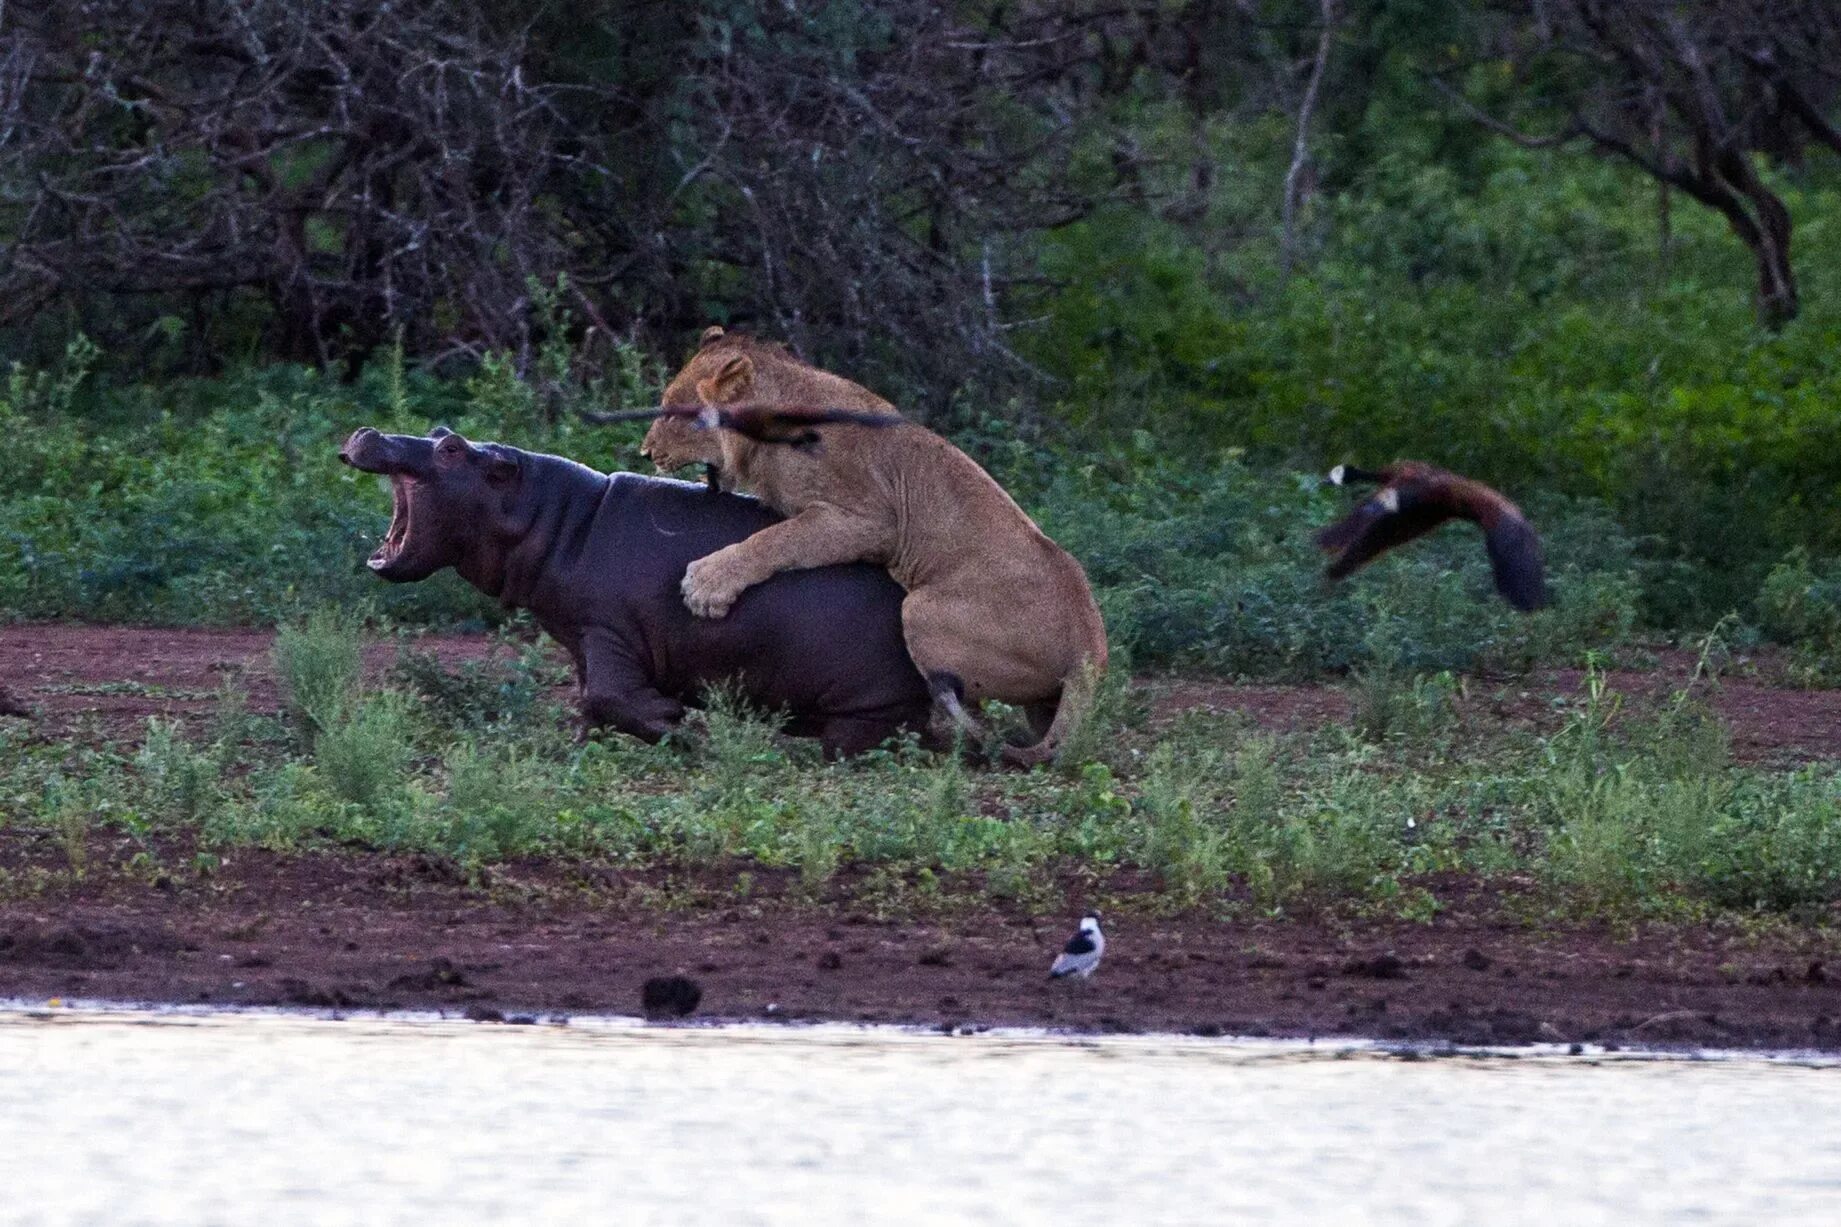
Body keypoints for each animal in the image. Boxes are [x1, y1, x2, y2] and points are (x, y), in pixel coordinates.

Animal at [640, 327, 1097, 766]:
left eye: (673, 411)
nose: (645, 452)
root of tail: (1089, 648)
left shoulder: (871, 521)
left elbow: (779, 538)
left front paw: (707, 584)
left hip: (920, 609)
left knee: (969, 713)